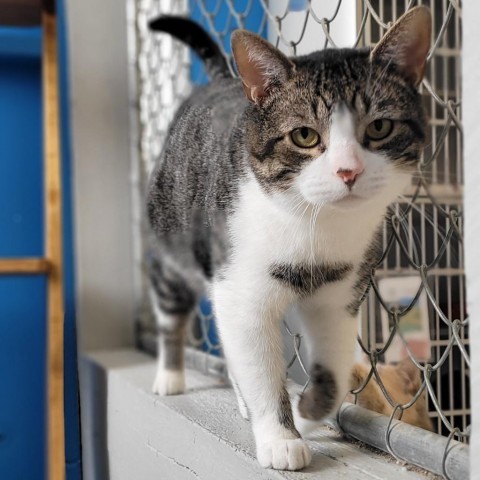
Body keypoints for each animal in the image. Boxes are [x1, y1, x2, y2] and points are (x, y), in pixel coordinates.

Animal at [146, 6, 432, 472]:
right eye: (304, 135)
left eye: (380, 127)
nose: (348, 171)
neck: (315, 225)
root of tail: (220, 80)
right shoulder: (242, 292)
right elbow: (261, 369)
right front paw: (280, 437)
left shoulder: (340, 295)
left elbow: (335, 364)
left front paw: (310, 413)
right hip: (173, 243)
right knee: (173, 310)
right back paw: (170, 377)